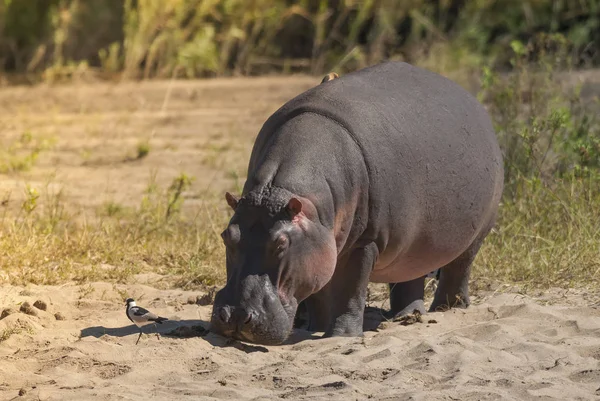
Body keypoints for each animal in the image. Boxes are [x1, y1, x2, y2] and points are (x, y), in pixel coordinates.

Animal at [209, 61, 504, 344]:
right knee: (409, 274)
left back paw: (447, 309)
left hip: (477, 233)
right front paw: (316, 328)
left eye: (281, 244)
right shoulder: (320, 244)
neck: (280, 193)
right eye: (226, 236)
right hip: (413, 241)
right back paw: (406, 317)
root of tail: (473, 102)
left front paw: (341, 337)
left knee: (459, 268)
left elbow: (350, 291)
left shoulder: (364, 241)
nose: (236, 316)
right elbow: (318, 291)